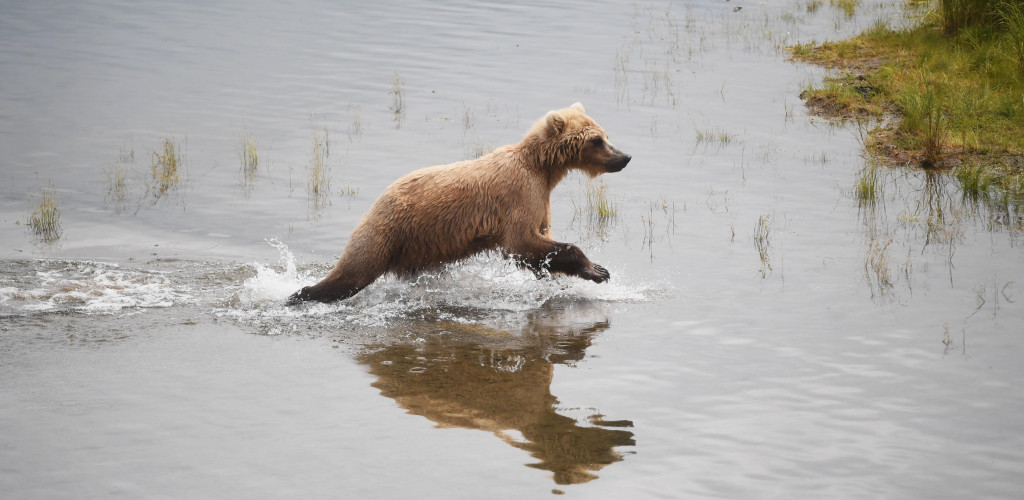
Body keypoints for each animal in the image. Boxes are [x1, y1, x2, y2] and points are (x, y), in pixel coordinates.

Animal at [288, 102, 630, 304]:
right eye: (597, 139)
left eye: (605, 134)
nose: (624, 157)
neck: (543, 170)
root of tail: (379, 197)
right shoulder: (519, 196)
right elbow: (522, 241)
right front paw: (598, 270)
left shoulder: (539, 200)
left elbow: (538, 246)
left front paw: (562, 276)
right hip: (388, 229)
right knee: (353, 271)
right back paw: (301, 293)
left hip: (417, 246)